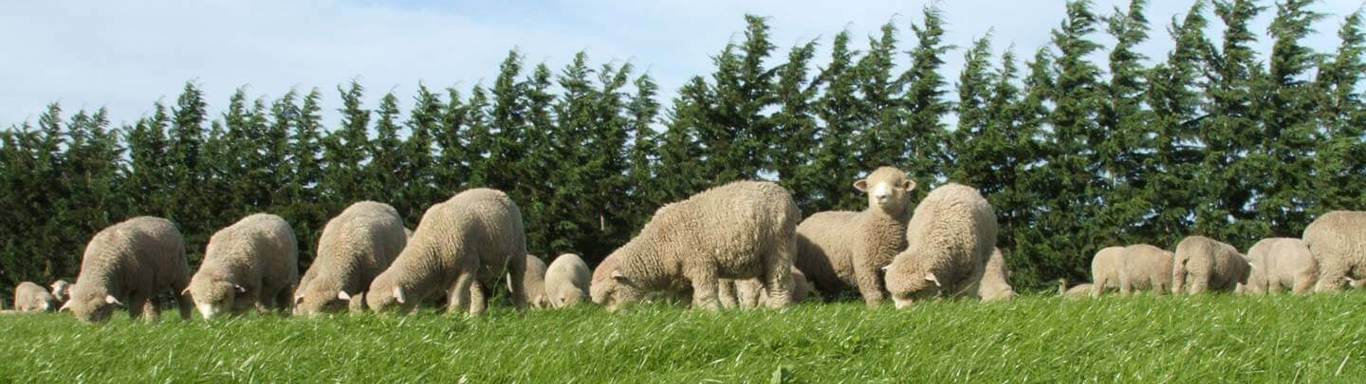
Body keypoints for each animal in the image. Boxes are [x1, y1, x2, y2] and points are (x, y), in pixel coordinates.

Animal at [63, 217, 193, 321]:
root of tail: (163, 220)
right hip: (152, 281)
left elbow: (135, 308)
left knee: (183, 297)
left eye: (99, 308)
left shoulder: (140, 287)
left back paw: (186, 320)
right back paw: (152, 323)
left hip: (179, 270)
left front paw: (134, 324)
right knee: (153, 303)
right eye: (75, 313)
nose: (91, 329)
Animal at [363, 187, 527, 315]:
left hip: (517, 249)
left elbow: (456, 299)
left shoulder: (465, 269)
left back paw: (521, 312)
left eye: (389, 305)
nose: (387, 326)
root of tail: (494, 190)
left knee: (517, 281)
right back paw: (475, 316)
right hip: (478, 265)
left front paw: (452, 318)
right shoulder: (453, 271)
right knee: (478, 289)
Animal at [590, 180, 797, 311]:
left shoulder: (700, 262)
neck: (659, 246)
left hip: (779, 246)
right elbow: (680, 299)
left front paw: (714, 315)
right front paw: (684, 316)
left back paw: (779, 310)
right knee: (769, 283)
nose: (615, 317)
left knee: (779, 282)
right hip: (761, 257)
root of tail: (785, 194)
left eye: (611, 293)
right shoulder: (680, 276)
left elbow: (705, 294)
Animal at [797, 166, 912, 306]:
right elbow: (873, 292)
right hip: (806, 268)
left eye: (897, 185)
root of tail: (810, 217)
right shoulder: (865, 265)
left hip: (824, 272)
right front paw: (876, 308)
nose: (880, 197)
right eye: (870, 186)